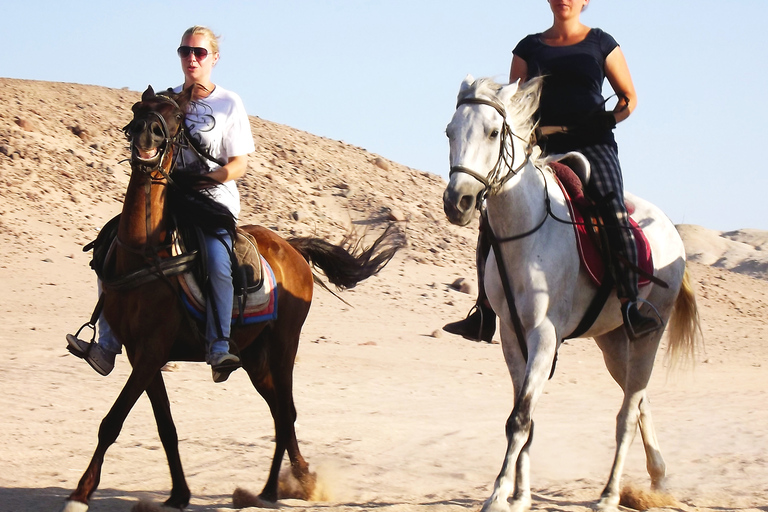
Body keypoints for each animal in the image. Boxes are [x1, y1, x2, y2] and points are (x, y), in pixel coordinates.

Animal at [60, 87, 402, 512]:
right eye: (138, 109)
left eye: (175, 120)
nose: (145, 138)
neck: (143, 252)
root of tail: (293, 248)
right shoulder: (143, 355)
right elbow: (166, 426)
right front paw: (178, 494)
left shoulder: (152, 351)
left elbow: (112, 422)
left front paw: (80, 494)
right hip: (254, 357)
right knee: (279, 414)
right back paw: (281, 485)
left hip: (284, 345)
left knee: (286, 412)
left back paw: (279, 488)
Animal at [444, 76, 704, 512]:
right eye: (449, 131)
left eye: (494, 132)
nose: (457, 202)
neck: (525, 231)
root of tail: (671, 229)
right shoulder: (512, 337)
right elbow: (525, 418)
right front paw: (520, 495)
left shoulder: (544, 335)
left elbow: (519, 419)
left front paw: (497, 495)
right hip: (613, 342)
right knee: (639, 400)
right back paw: (657, 476)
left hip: (649, 334)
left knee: (627, 413)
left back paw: (610, 494)